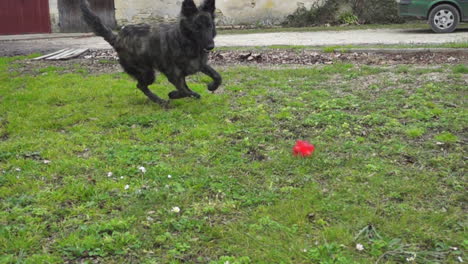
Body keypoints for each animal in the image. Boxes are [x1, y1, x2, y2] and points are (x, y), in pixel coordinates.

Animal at [80, 0, 221, 105]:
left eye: (209, 26)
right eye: (197, 28)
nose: (210, 46)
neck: (185, 42)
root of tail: (117, 38)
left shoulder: (199, 65)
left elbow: (218, 76)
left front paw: (212, 86)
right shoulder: (174, 75)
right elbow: (184, 90)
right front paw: (174, 94)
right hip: (147, 73)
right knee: (141, 86)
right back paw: (160, 101)